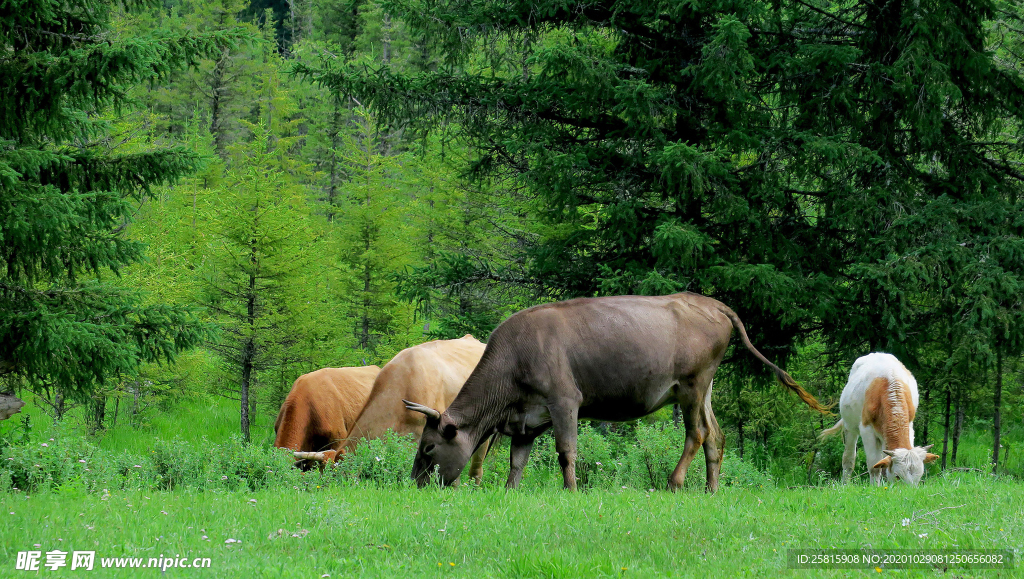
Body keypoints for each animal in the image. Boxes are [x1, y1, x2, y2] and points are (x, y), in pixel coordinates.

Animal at [403, 293, 827, 491]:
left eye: (429, 448)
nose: (414, 483)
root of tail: (708, 301)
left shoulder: (564, 400)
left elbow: (566, 451)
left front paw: (571, 490)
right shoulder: (527, 417)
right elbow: (516, 461)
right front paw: (510, 492)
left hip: (691, 384)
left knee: (697, 433)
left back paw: (674, 483)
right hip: (704, 388)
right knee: (716, 436)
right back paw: (710, 489)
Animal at [819, 352, 937, 483]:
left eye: (919, 476)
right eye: (897, 476)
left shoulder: (910, 426)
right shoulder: (867, 430)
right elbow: (874, 466)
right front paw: (875, 486)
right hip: (849, 426)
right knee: (848, 459)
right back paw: (845, 483)